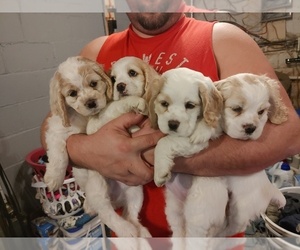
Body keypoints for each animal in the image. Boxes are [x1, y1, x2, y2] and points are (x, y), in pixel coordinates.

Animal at [43, 55, 111, 191]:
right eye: (73, 93)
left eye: (93, 83)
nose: (91, 103)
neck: (85, 117)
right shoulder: (56, 131)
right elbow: (58, 155)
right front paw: (54, 179)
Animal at [72, 55, 162, 237]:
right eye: (113, 79)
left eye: (132, 73)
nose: (119, 86)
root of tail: (115, 200)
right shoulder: (102, 121)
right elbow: (116, 104)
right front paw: (138, 103)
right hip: (98, 189)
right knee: (107, 214)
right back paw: (127, 231)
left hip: (135, 192)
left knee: (131, 216)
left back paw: (141, 233)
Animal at [148, 68, 227, 236]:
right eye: (164, 104)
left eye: (190, 105)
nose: (172, 124)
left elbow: (165, 141)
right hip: (173, 212)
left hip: (199, 214)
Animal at [214, 73, 288, 237]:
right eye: (236, 108)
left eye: (261, 112)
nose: (250, 128)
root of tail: (272, 191)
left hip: (240, 210)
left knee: (235, 227)